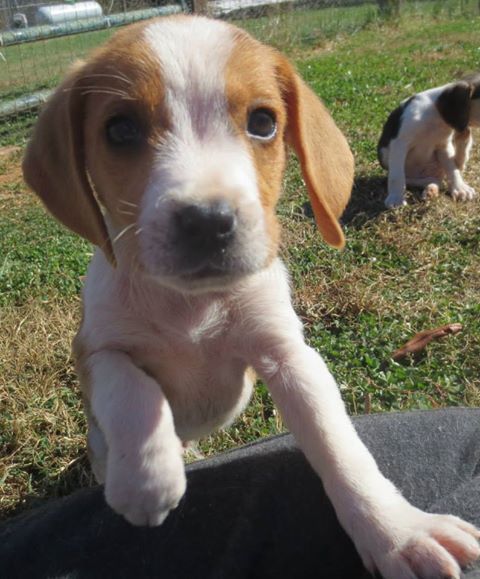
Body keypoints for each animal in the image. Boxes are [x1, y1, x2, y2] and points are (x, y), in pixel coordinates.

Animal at [378, 73, 480, 207]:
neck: (436, 119)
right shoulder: (399, 144)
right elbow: (397, 176)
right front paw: (396, 198)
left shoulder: (443, 147)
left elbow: (453, 170)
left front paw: (460, 189)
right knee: (409, 179)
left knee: (452, 168)